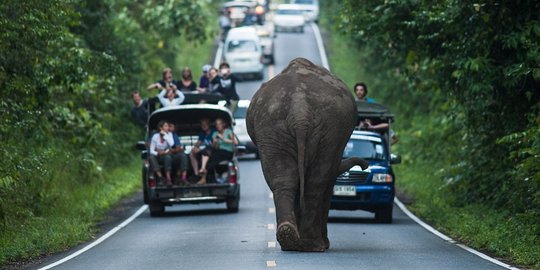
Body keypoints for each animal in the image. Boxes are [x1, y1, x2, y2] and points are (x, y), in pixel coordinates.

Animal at [247, 57, 370, 251]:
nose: (365, 165)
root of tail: (300, 111)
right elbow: (327, 180)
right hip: (326, 131)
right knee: (316, 182)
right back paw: (313, 245)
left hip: (272, 128)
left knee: (284, 180)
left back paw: (290, 239)